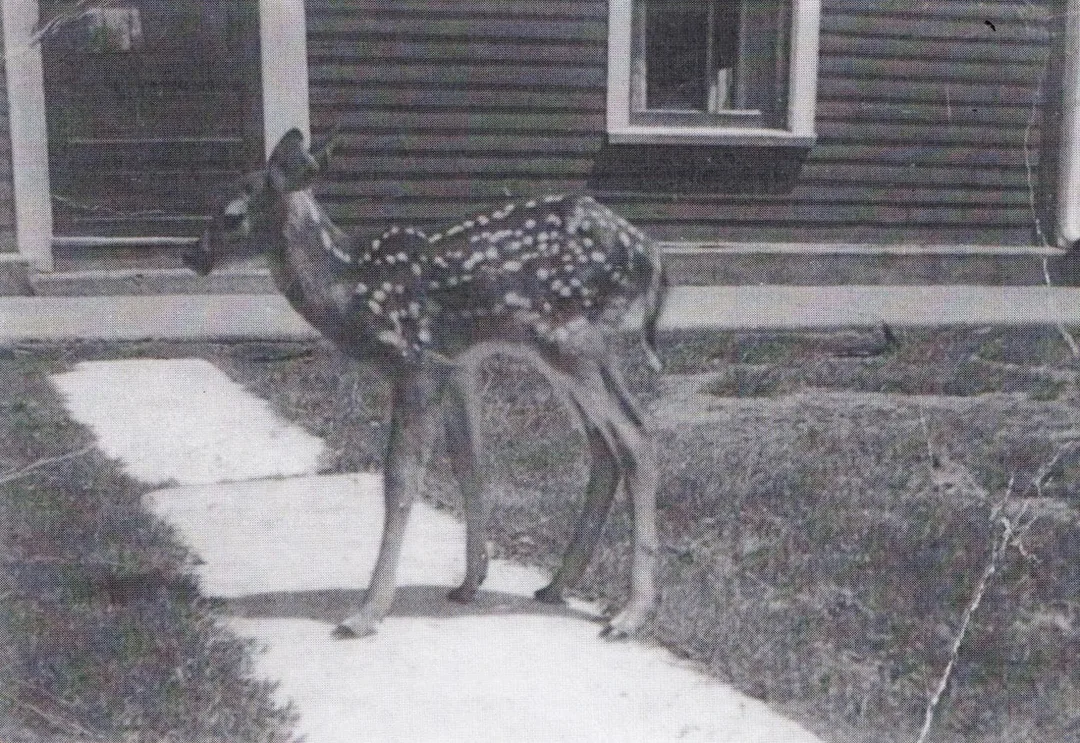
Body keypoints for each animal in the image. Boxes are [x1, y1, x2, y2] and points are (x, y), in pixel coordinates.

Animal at [184, 129, 667, 640]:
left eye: (232, 214)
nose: (191, 254)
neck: (352, 286)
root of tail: (650, 253)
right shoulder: (457, 365)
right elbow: (468, 464)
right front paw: (469, 582)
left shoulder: (415, 363)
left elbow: (400, 478)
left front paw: (366, 613)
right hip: (571, 353)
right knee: (605, 445)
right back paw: (557, 586)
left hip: (570, 341)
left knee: (636, 436)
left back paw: (631, 614)